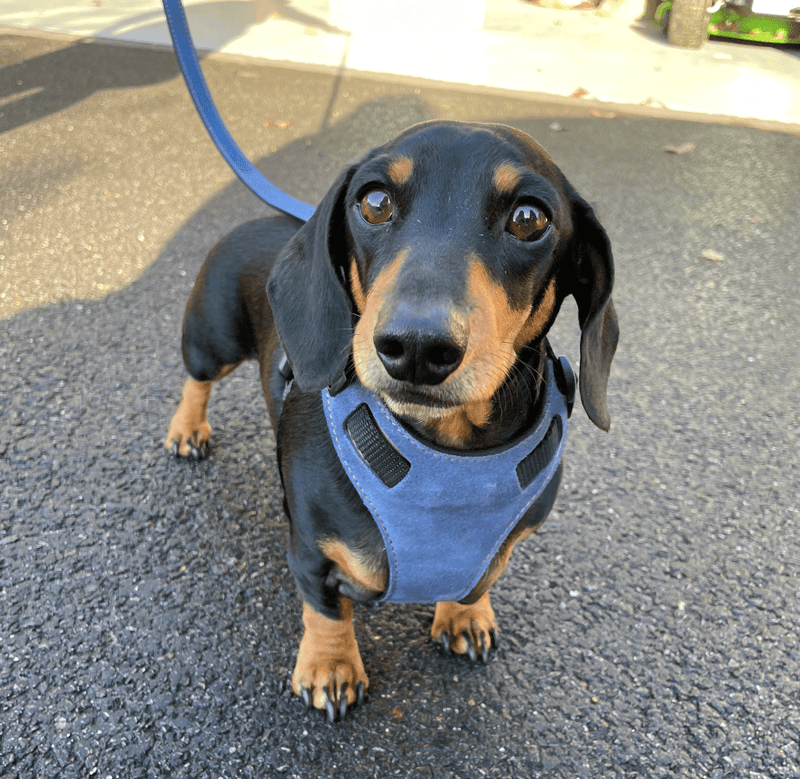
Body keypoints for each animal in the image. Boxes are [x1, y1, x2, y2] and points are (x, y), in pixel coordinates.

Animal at [166, 119, 620, 724]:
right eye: (374, 201)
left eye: (530, 218)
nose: (418, 347)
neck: (448, 456)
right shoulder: (310, 552)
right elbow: (327, 611)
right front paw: (330, 668)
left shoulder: (501, 546)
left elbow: (479, 578)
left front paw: (465, 616)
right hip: (211, 338)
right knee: (197, 380)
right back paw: (186, 430)